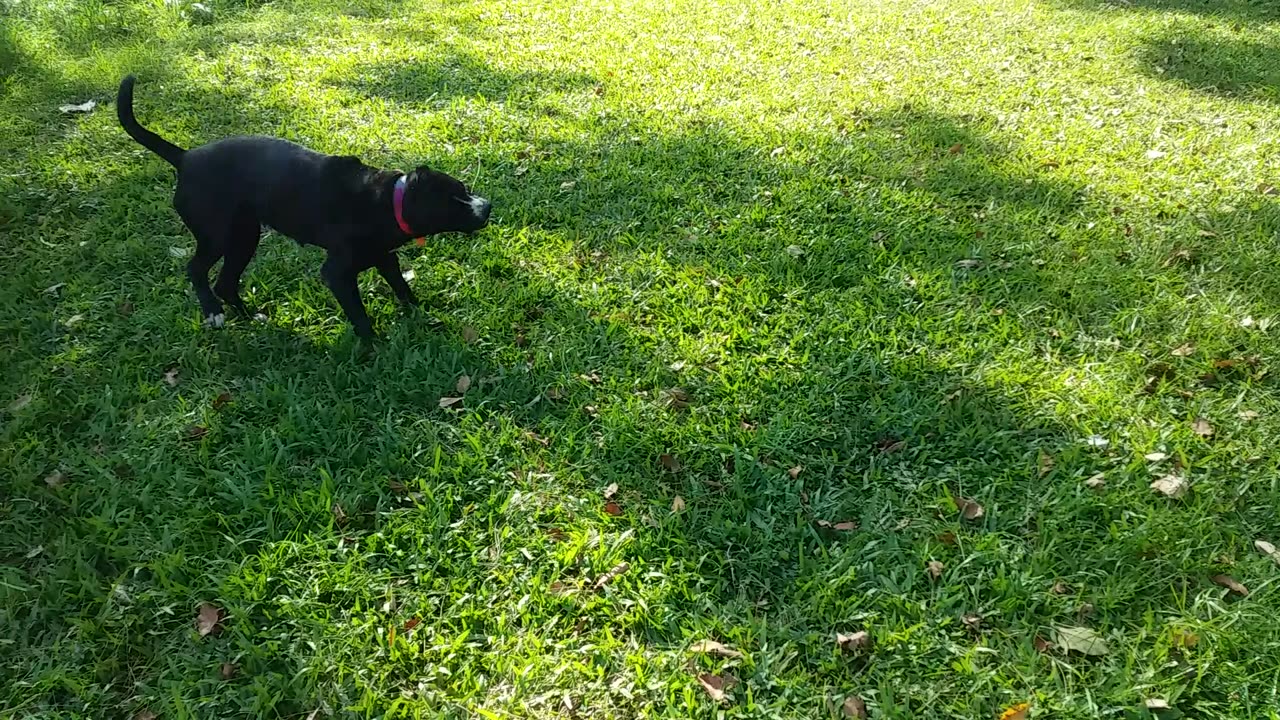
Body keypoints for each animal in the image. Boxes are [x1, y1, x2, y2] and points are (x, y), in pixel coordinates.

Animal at [116, 74, 488, 338]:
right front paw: (374, 349)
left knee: (226, 283)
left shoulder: (385, 257)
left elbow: (403, 290)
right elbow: (360, 317)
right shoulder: (337, 274)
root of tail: (185, 157)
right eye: (452, 203)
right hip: (218, 235)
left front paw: (422, 317)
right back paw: (213, 311)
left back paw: (250, 318)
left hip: (244, 237)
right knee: (195, 270)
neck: (387, 201)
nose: (487, 207)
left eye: (464, 189)